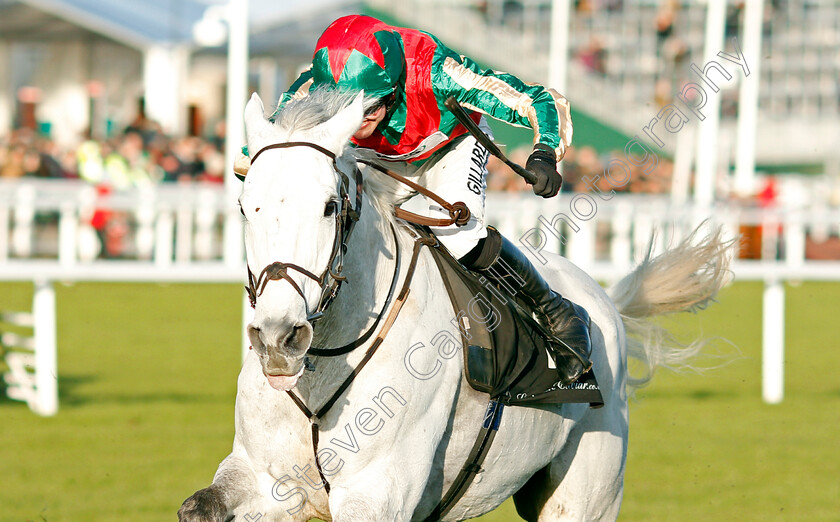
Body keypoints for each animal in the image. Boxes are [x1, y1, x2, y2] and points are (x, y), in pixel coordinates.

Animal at [180, 90, 732, 520]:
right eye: (245, 205)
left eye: (329, 206)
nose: (278, 337)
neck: (324, 363)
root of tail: (605, 303)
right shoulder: (263, 476)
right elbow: (201, 506)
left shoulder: (376, 494)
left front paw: (543, 168)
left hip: (586, 493)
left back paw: (566, 328)